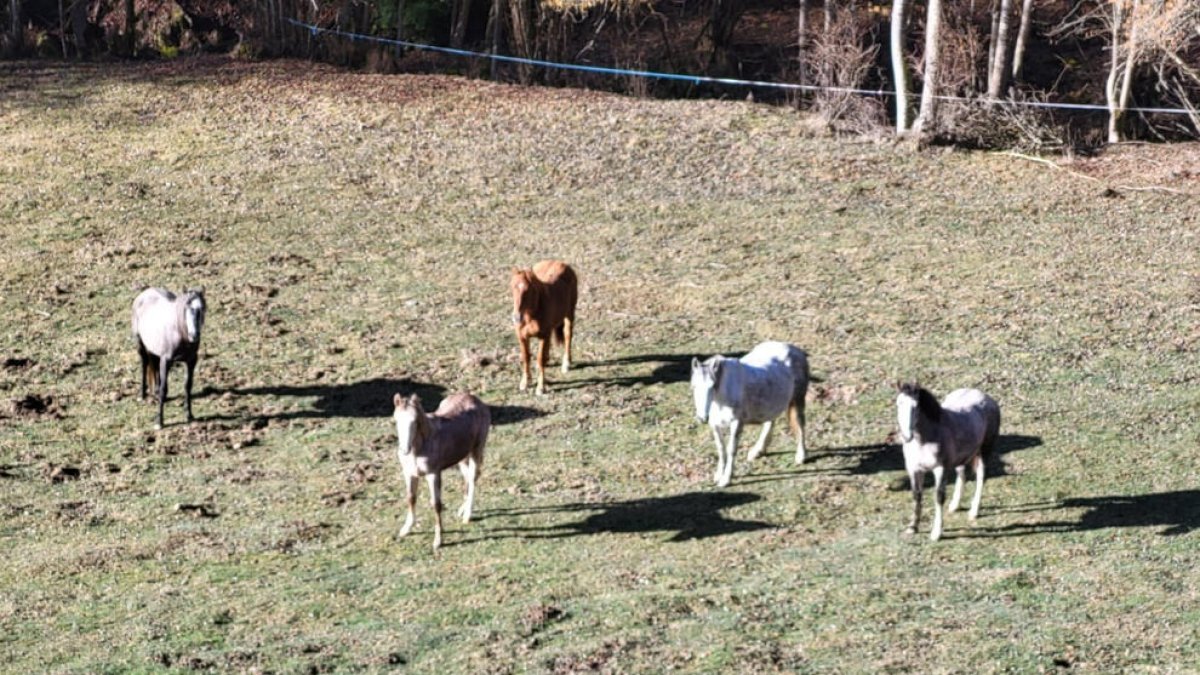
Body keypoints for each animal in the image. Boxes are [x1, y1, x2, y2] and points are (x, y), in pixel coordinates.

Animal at [131, 287, 206, 429]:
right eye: (186, 308)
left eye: (202, 308)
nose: (194, 335)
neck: (179, 333)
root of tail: (145, 292)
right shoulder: (166, 360)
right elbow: (163, 388)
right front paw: (159, 422)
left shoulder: (191, 361)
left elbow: (188, 386)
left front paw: (189, 415)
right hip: (140, 343)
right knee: (144, 363)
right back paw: (142, 394)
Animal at [393, 392, 490, 550]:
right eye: (396, 420)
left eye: (414, 421)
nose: (404, 450)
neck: (419, 448)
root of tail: (475, 399)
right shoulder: (409, 474)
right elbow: (411, 498)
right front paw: (405, 529)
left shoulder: (433, 474)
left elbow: (436, 504)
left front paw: (438, 541)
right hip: (461, 457)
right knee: (467, 477)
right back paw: (462, 510)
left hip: (476, 450)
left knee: (473, 478)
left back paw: (467, 515)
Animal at [510, 260, 578, 396]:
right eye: (513, 286)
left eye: (528, 290)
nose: (516, 317)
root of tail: (561, 263)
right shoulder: (522, 337)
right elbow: (526, 357)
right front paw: (525, 383)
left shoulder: (543, 336)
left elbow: (540, 359)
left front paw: (540, 388)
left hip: (569, 314)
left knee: (568, 335)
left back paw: (566, 364)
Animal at [690, 341, 810, 487]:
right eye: (694, 386)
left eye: (712, 386)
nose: (702, 418)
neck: (721, 398)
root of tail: (795, 350)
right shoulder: (714, 424)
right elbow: (720, 448)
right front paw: (718, 475)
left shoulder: (736, 423)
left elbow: (731, 449)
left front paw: (726, 479)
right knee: (770, 421)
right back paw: (757, 451)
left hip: (797, 400)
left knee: (800, 424)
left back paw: (801, 456)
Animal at [895, 382, 1000, 541]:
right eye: (898, 403)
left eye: (916, 406)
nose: (907, 436)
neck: (925, 440)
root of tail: (987, 398)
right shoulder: (913, 469)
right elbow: (917, 495)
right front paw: (912, 527)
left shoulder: (940, 469)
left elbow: (939, 497)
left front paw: (936, 533)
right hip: (962, 455)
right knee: (962, 473)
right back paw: (954, 505)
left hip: (984, 450)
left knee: (981, 477)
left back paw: (973, 511)